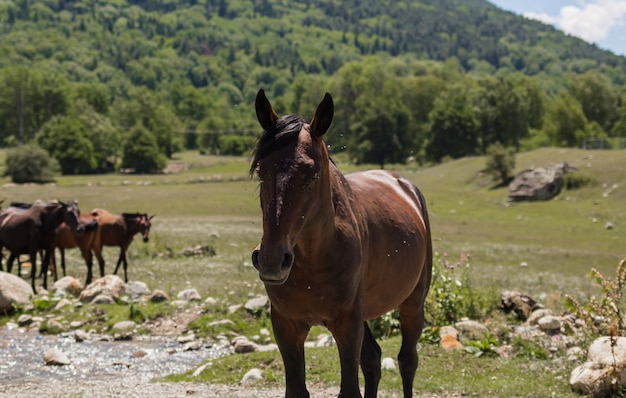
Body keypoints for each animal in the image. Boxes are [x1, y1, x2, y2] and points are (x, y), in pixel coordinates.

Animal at [249, 90, 428, 398]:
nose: (271, 261)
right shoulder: (286, 325)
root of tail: (404, 185)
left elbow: (350, 389)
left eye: (311, 175)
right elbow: (298, 389)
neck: (315, 257)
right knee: (373, 360)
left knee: (407, 361)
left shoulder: (347, 325)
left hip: (412, 303)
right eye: (261, 171)